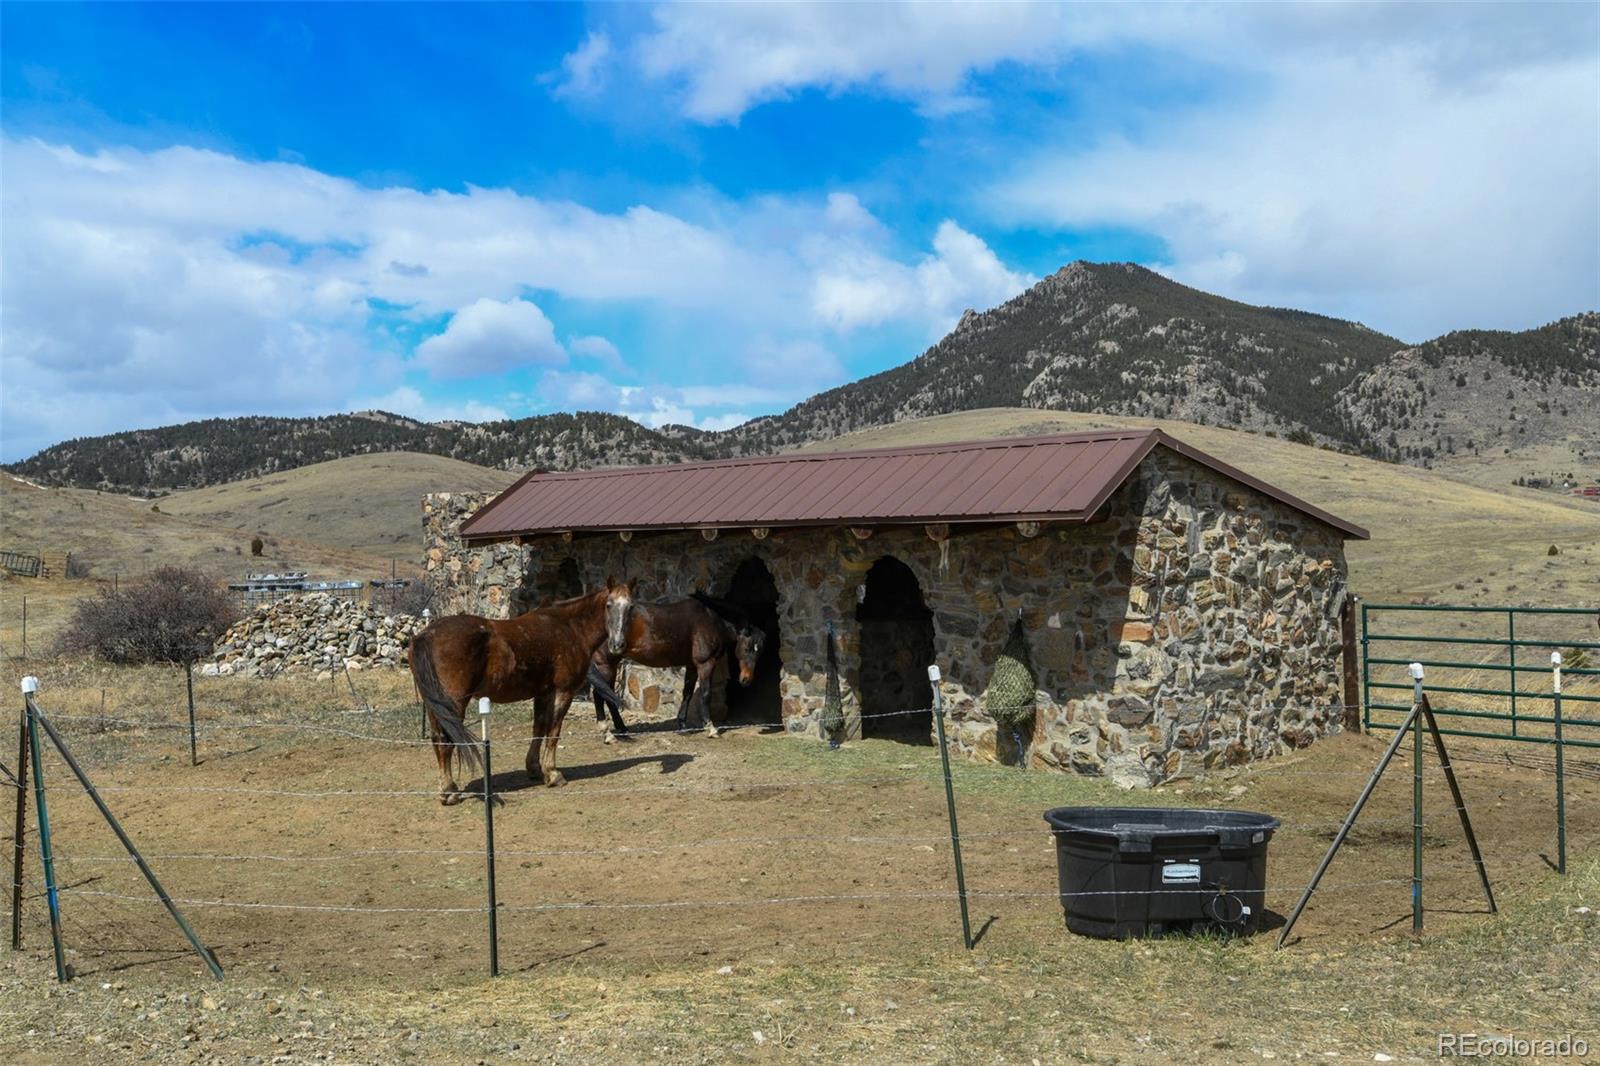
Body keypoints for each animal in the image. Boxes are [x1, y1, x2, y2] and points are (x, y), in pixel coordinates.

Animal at [409, 573, 633, 797]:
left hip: (435, 705)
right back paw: (449, 791)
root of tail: (426, 634)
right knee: (446, 739)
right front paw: (553, 774)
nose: (617, 645)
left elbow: (538, 728)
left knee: (438, 738)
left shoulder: (543, 693)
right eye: (608, 605)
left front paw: (534, 768)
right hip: (453, 703)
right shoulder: (563, 692)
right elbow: (553, 731)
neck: (569, 628)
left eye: (630, 607)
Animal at [595, 585, 768, 736]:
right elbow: (706, 693)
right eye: (747, 648)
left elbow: (688, 693)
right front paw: (710, 727)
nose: (746, 680)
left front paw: (682, 725)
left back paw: (622, 727)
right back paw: (606, 730)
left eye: (759, 652)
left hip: (611, 665)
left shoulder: (692, 666)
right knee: (599, 694)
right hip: (606, 665)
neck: (711, 619)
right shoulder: (706, 664)